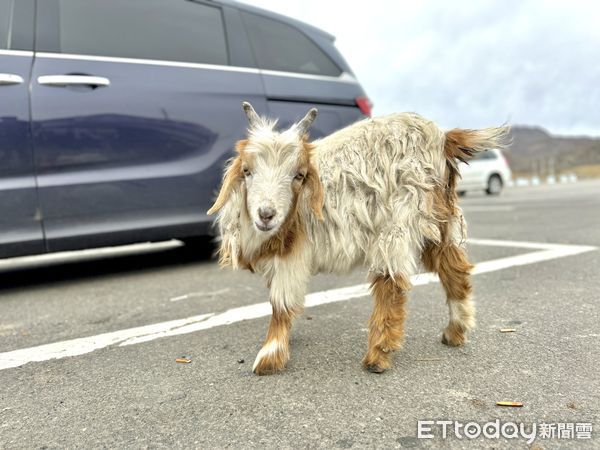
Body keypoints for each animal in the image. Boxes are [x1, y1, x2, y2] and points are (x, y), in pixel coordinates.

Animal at [209, 103, 508, 376]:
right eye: (247, 171)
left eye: (299, 175)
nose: (266, 214)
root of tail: (442, 138)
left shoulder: (292, 252)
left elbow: (280, 303)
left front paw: (270, 356)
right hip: (438, 219)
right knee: (453, 268)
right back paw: (455, 330)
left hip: (397, 219)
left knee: (391, 282)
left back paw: (378, 355)